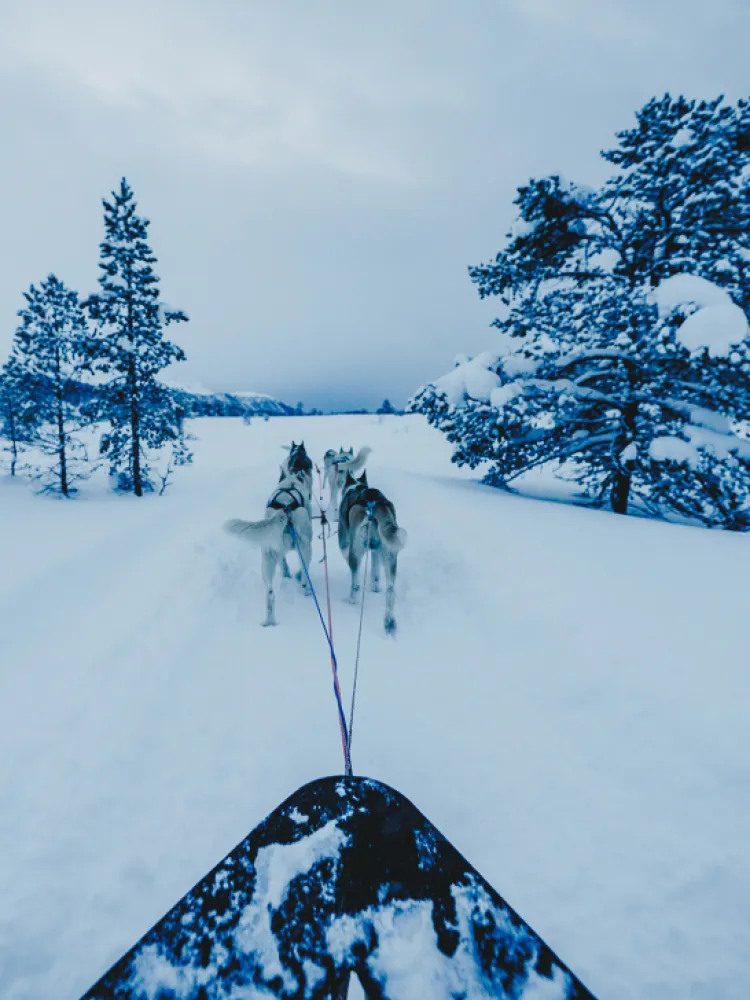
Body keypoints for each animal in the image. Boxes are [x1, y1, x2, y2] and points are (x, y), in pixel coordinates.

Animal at [225, 460, 316, 624]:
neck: (291, 482)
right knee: (305, 575)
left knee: (270, 594)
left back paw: (269, 622)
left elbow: (284, 562)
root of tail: (285, 510)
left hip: (267, 559)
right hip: (305, 549)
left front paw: (286, 573)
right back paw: (306, 589)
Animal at [340, 470, 406, 632]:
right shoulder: (376, 551)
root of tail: (373, 507)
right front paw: (375, 587)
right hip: (390, 556)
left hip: (356, 550)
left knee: (355, 580)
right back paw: (389, 622)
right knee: (390, 592)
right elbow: (375, 572)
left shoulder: (345, 543)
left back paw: (352, 599)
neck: (357, 487)